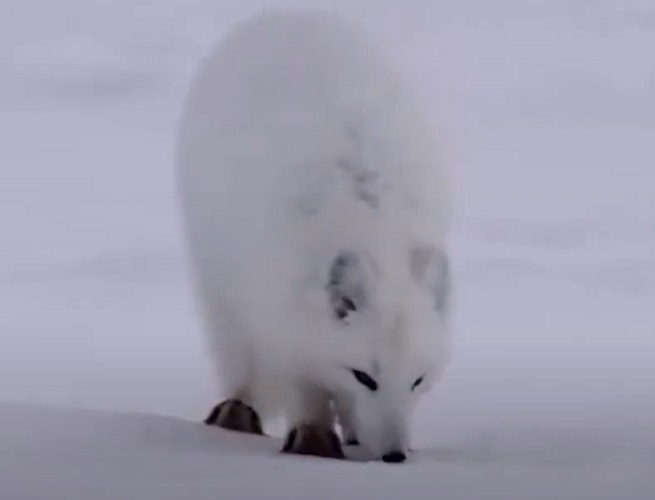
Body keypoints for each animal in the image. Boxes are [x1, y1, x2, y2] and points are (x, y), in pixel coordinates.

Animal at [175, 9, 453, 463]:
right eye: (364, 376)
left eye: (418, 379)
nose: (394, 455)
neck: (371, 228)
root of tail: (283, 15)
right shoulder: (281, 317)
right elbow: (305, 384)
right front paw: (315, 439)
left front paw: (357, 435)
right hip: (218, 284)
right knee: (235, 355)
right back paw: (236, 411)